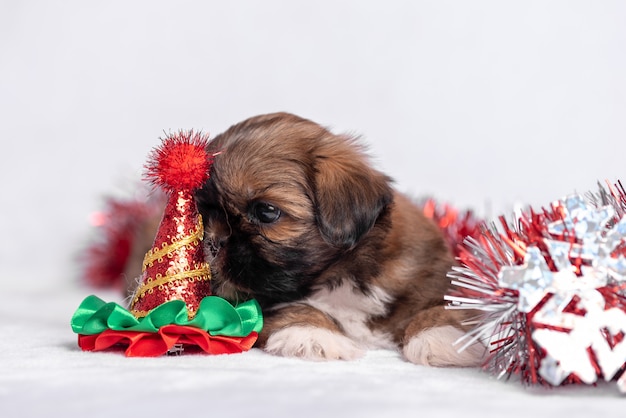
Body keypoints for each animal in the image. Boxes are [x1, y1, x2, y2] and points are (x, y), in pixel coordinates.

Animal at [195, 112, 482, 366]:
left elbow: (446, 305)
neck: (340, 275)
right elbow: (295, 308)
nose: (213, 242)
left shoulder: (430, 270)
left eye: (266, 211)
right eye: (202, 213)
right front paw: (312, 334)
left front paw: (441, 336)